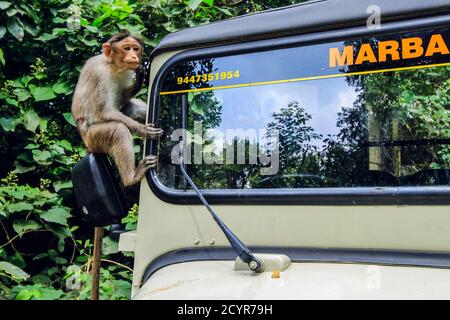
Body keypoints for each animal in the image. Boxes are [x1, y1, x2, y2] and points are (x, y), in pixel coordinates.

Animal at [70, 31, 162, 186]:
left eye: (135, 49)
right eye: (126, 48)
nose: (134, 56)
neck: (112, 65)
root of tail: (86, 146)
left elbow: (121, 99)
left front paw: (141, 75)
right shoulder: (99, 74)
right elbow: (104, 111)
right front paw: (143, 130)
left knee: (133, 107)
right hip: (93, 139)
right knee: (118, 130)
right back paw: (132, 177)